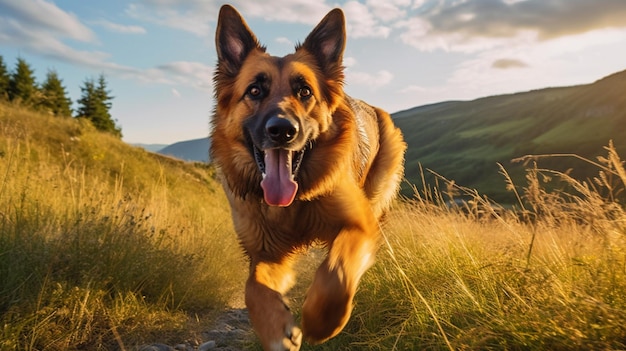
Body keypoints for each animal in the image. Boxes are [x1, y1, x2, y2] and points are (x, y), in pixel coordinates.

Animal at [210, 4, 404, 350]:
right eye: (254, 90)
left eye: (304, 91)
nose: (282, 130)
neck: (296, 203)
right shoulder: (264, 252)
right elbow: (253, 289)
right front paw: (276, 330)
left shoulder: (359, 225)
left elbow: (337, 270)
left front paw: (321, 320)